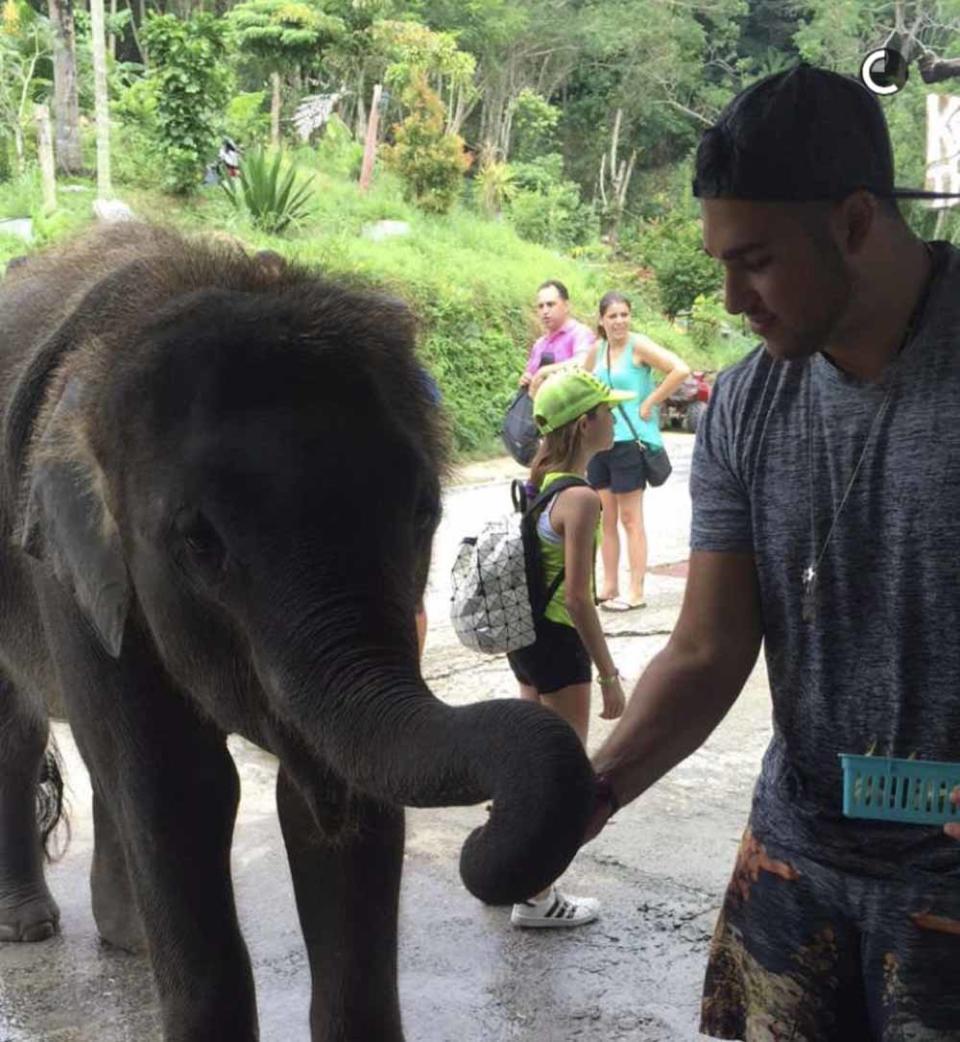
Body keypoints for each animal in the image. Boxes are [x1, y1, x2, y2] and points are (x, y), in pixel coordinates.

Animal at [0, 228, 596, 1042]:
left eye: (422, 511)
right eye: (200, 543)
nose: (480, 843)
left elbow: (344, 800)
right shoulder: (70, 576)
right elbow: (182, 788)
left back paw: (127, 942)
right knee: (29, 733)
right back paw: (30, 928)